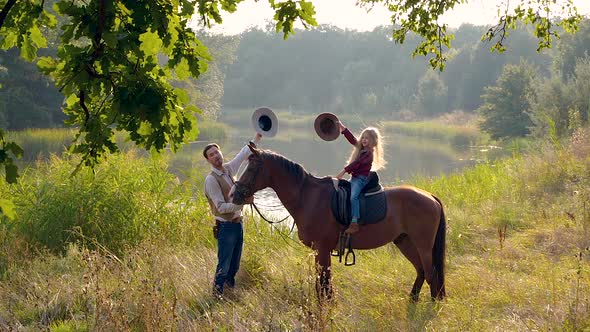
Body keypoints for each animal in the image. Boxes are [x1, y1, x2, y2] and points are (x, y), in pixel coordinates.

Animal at [234, 144, 446, 302]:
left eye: (252, 168)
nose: (235, 195)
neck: (307, 196)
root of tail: (430, 197)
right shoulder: (320, 251)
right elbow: (322, 282)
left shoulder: (322, 248)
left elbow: (324, 282)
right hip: (404, 241)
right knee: (421, 271)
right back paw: (412, 301)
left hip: (423, 245)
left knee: (431, 274)